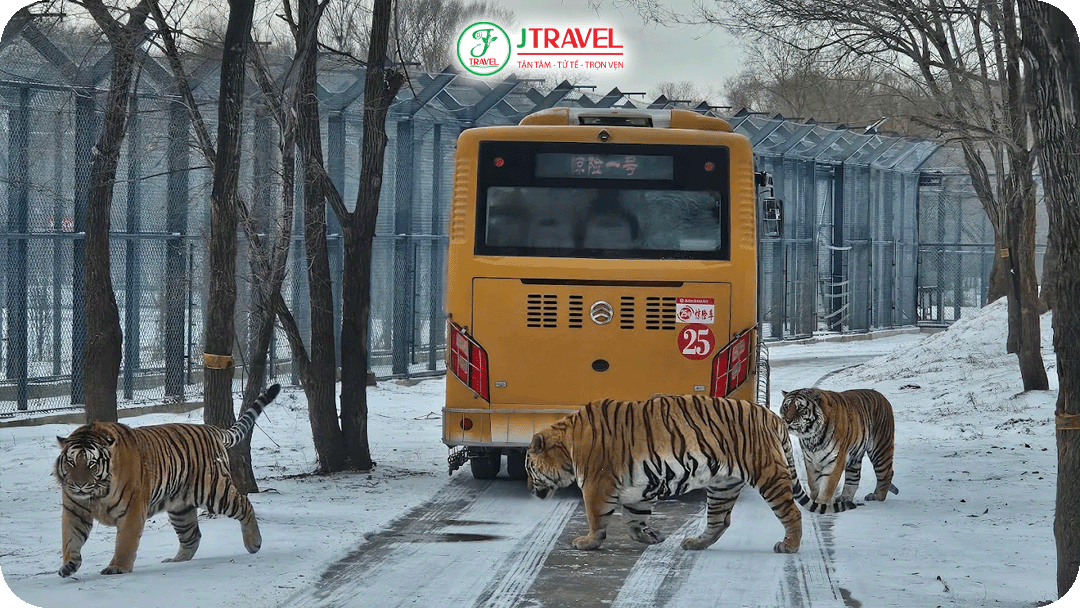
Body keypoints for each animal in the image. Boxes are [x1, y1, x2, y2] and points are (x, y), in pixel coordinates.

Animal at [53, 383, 280, 577]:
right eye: (71, 462)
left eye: (92, 464)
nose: (79, 485)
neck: (96, 494)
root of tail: (212, 429)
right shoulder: (75, 509)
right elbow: (69, 538)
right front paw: (69, 565)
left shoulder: (133, 510)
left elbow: (124, 542)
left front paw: (117, 568)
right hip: (181, 508)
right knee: (192, 536)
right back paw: (175, 561)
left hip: (214, 491)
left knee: (244, 503)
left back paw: (254, 543)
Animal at [525, 395, 855, 554]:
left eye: (530, 467)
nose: (529, 486)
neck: (568, 442)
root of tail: (772, 416)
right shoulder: (637, 489)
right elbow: (633, 520)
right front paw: (651, 536)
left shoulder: (597, 483)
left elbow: (596, 518)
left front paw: (587, 542)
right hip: (722, 485)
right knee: (720, 521)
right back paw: (695, 543)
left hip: (768, 475)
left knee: (792, 513)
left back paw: (789, 546)